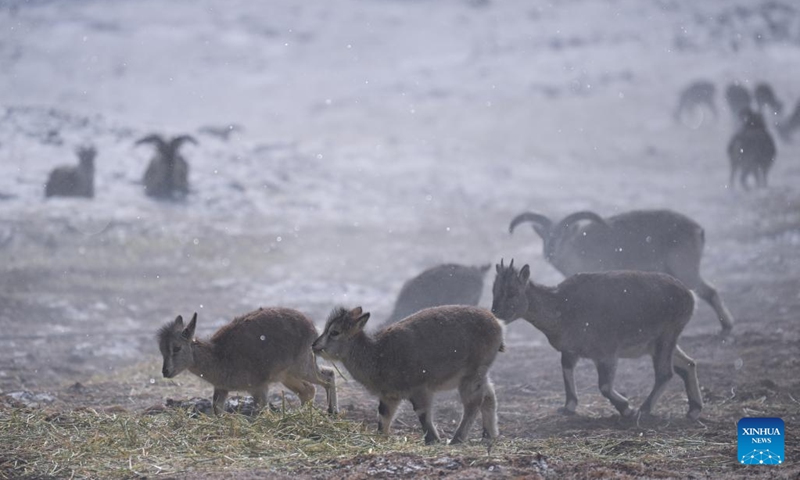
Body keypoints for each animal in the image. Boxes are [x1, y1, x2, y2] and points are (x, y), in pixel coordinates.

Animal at [157, 308, 337, 416]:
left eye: (177, 348)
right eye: (161, 350)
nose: (165, 371)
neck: (218, 356)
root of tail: (313, 329)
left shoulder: (259, 386)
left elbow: (261, 410)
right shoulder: (221, 388)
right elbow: (216, 408)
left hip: (302, 365)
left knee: (328, 375)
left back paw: (332, 411)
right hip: (287, 375)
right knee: (308, 390)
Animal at [312, 305, 504, 445]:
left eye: (334, 332)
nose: (314, 345)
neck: (377, 354)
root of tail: (497, 324)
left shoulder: (419, 389)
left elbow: (423, 413)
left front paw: (433, 439)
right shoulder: (389, 395)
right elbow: (383, 416)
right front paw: (381, 437)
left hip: (471, 375)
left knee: (473, 403)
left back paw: (457, 439)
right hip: (480, 374)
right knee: (489, 397)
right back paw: (489, 435)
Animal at [491, 260, 703, 420]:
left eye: (512, 292)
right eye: (494, 291)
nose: (495, 315)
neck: (562, 309)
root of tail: (689, 296)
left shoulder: (606, 352)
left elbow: (604, 386)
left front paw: (627, 408)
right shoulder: (570, 351)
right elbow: (566, 373)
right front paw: (568, 407)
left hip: (666, 335)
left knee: (665, 373)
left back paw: (643, 410)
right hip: (657, 343)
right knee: (688, 364)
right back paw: (694, 409)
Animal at [509, 209, 734, 334]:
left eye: (564, 234)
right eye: (546, 235)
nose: (550, 249)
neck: (578, 249)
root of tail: (698, 229)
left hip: (684, 267)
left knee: (708, 291)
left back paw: (727, 325)